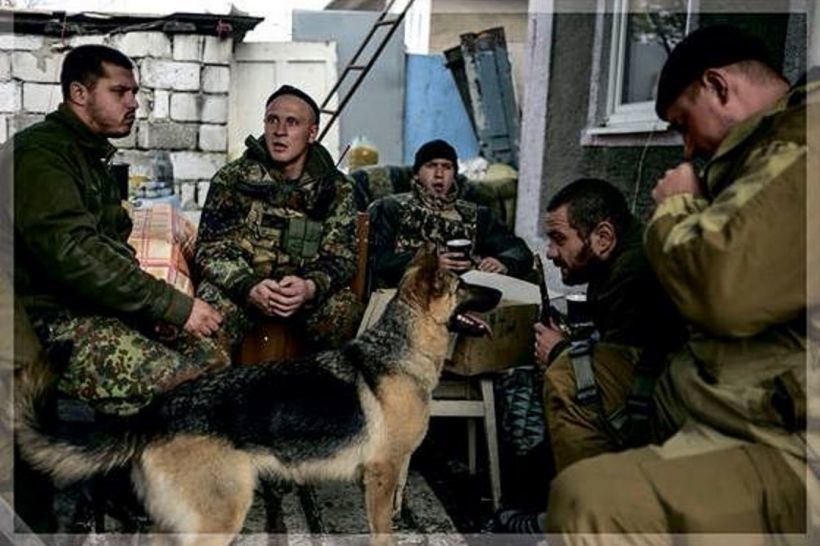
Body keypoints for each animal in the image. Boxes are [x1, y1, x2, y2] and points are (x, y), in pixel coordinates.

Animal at [16, 248, 502, 544]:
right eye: (462, 286)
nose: (499, 290)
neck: (400, 350)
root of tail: (159, 410)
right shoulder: (382, 476)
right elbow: (383, 530)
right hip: (220, 518)